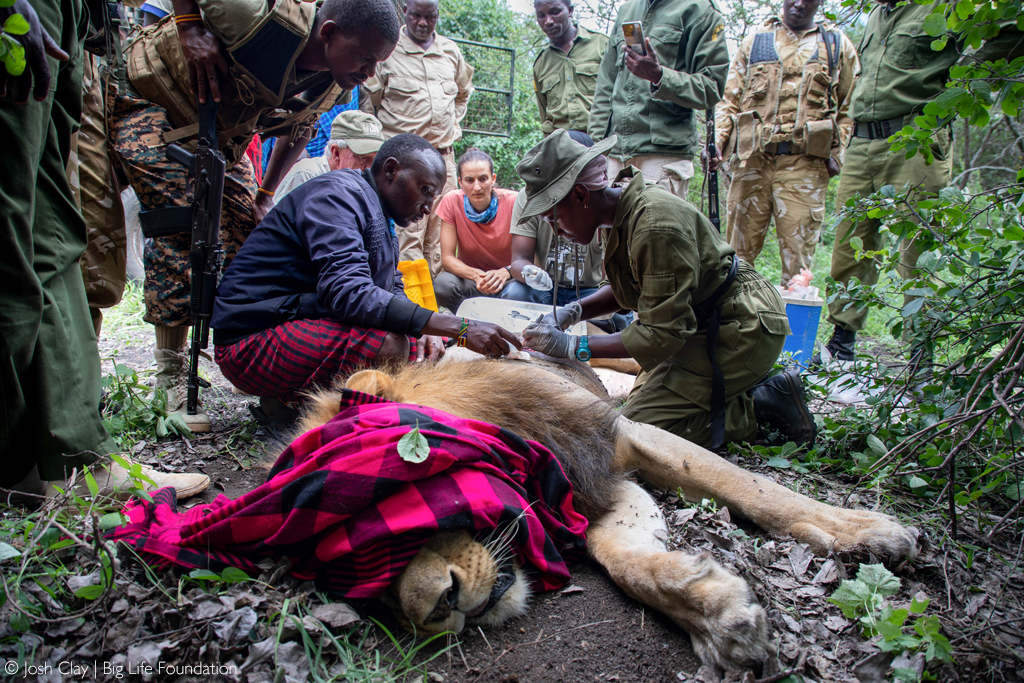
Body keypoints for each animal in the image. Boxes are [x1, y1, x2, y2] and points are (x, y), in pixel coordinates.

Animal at [292, 352, 925, 671]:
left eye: (401, 494)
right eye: (364, 586)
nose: (434, 610)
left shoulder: (622, 435)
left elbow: (752, 487)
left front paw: (867, 530)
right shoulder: (595, 493)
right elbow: (623, 558)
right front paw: (716, 615)